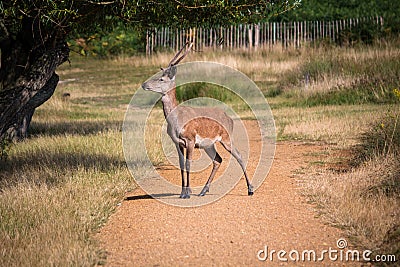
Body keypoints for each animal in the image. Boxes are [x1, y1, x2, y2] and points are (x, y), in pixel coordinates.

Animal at [141, 43, 253, 199]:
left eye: (161, 79)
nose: (144, 84)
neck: (176, 121)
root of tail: (230, 119)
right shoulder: (177, 142)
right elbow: (181, 164)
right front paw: (182, 192)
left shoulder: (190, 139)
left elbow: (188, 164)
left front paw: (187, 193)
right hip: (208, 144)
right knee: (218, 160)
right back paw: (203, 191)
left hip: (226, 138)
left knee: (239, 156)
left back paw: (250, 189)